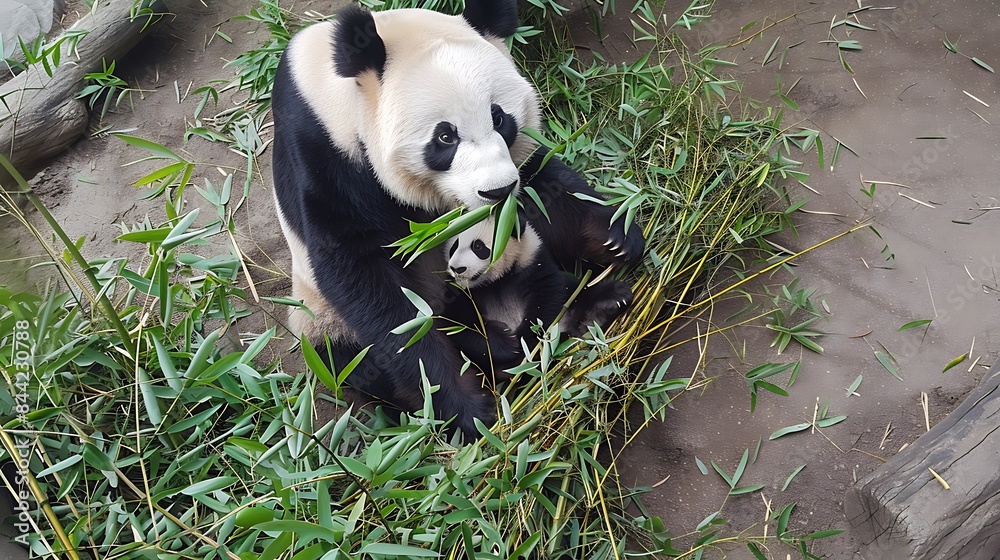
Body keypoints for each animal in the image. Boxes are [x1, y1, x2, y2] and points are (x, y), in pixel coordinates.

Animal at [442, 214, 633, 377]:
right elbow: (460, 326)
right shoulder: (460, 294)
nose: (457, 268)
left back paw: (608, 303)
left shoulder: (533, 262)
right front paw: (507, 343)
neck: (496, 281)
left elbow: (546, 301)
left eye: (478, 246)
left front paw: (525, 342)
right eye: (453, 247)